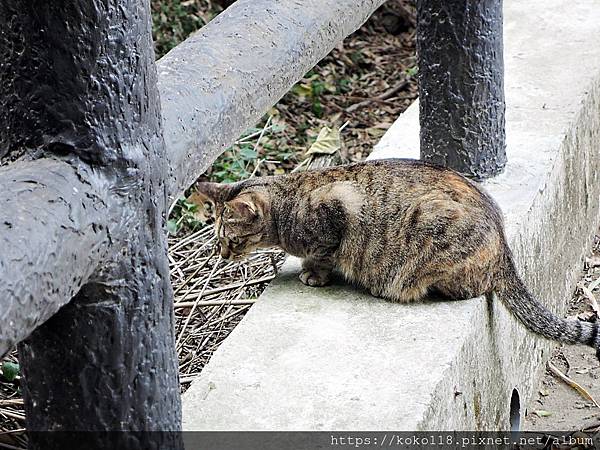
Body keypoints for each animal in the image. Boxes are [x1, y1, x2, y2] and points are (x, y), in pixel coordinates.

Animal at [195, 160, 596, 356]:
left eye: (229, 238)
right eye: (218, 239)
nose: (221, 252)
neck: (287, 205)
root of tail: (503, 246)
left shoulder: (336, 215)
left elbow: (322, 256)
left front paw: (312, 274)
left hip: (431, 231)